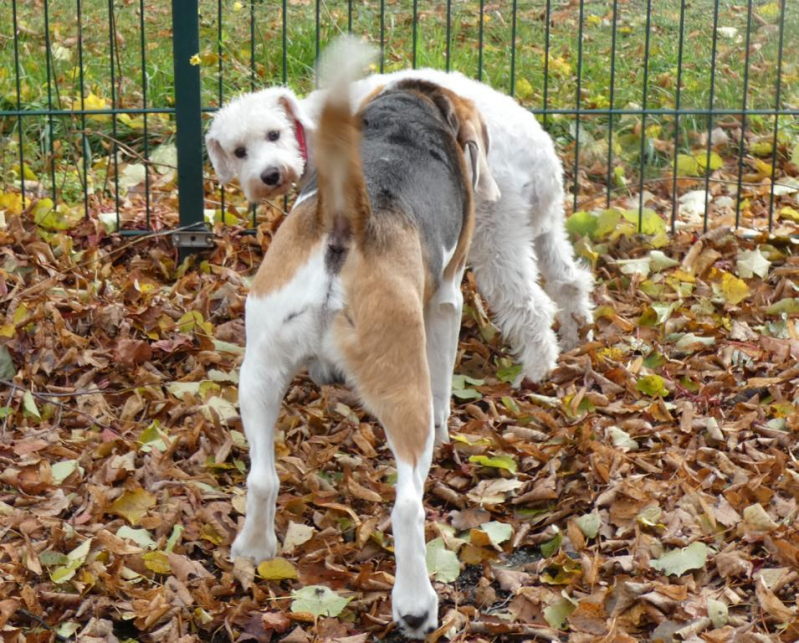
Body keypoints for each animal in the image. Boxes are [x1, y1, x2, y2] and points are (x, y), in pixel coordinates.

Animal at [206, 67, 593, 387]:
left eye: (274, 134)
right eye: (239, 151)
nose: (270, 175)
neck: (310, 129)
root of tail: (541, 156)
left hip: (496, 235)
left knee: (531, 306)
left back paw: (536, 371)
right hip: (543, 227)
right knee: (570, 281)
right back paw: (575, 339)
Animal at [228, 38, 489, 638]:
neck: (405, 115)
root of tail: (346, 218)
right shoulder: (447, 300)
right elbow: (445, 388)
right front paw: (448, 433)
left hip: (257, 374)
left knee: (262, 477)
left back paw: (254, 547)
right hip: (404, 389)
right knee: (408, 506)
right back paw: (416, 606)